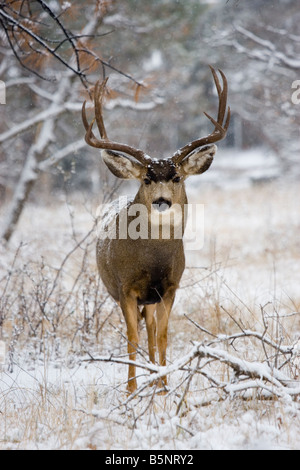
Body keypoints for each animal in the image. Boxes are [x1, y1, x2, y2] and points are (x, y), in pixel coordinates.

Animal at [82, 65, 230, 392]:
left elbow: (162, 336)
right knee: (140, 328)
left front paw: (163, 385)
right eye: (147, 179)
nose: (162, 201)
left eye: (176, 177)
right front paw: (131, 390)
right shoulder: (126, 288)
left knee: (150, 327)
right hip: (121, 292)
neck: (153, 260)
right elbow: (131, 338)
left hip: (151, 297)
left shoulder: (171, 287)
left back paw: (154, 377)